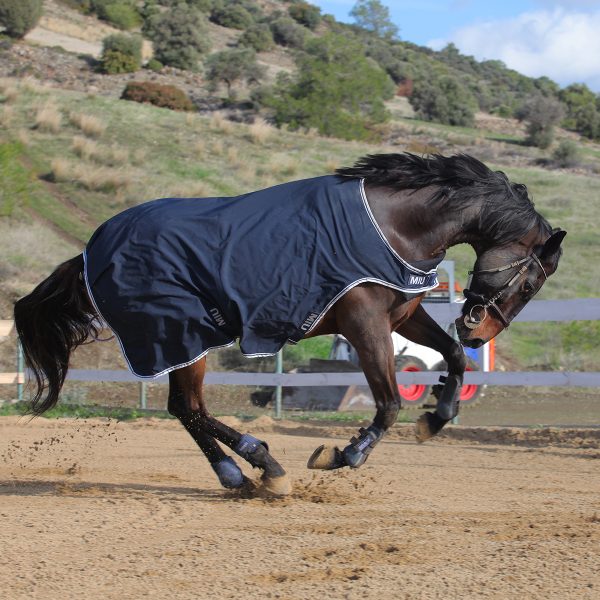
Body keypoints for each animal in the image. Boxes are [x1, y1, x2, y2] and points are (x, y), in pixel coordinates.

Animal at [15, 152, 568, 494]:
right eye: (529, 285)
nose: (480, 331)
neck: (391, 225)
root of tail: (89, 252)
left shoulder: (403, 315)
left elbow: (451, 358)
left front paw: (436, 417)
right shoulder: (365, 323)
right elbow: (389, 403)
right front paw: (343, 454)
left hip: (186, 342)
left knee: (185, 409)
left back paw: (240, 474)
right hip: (179, 338)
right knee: (187, 408)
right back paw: (261, 464)